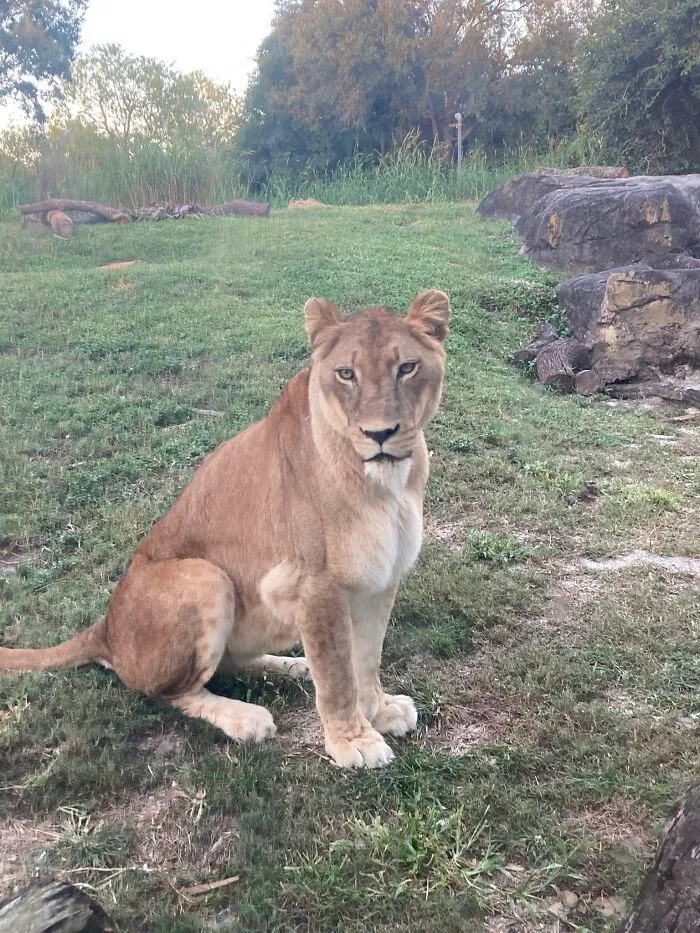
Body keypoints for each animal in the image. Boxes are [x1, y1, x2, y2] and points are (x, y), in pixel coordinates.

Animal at [0, 289, 450, 769]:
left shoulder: (381, 577)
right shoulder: (314, 585)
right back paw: (245, 717)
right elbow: (336, 675)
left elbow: (365, 657)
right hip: (206, 576)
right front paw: (353, 741)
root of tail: (105, 628)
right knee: (170, 692)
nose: (380, 433)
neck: (386, 482)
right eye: (346, 374)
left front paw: (379, 711)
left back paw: (293, 665)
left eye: (407, 368)